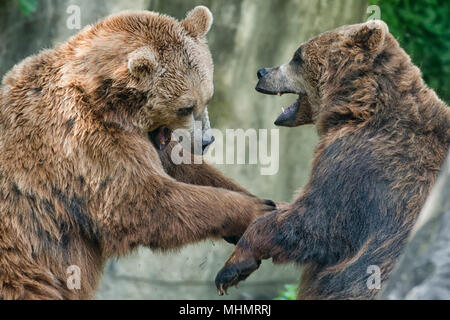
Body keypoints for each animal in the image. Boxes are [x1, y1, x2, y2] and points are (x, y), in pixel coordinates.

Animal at [0, 5, 274, 300]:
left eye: (207, 98)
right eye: (185, 107)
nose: (206, 141)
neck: (109, 103)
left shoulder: (148, 140)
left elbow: (185, 169)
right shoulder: (84, 142)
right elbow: (143, 201)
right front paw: (256, 209)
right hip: (22, 265)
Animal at [215, 20, 450, 300]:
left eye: (297, 56)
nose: (262, 72)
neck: (357, 109)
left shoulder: (362, 164)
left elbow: (316, 221)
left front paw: (233, 268)